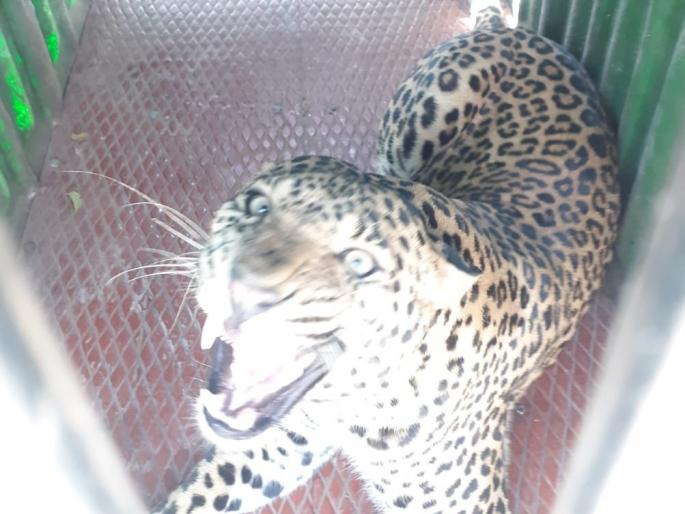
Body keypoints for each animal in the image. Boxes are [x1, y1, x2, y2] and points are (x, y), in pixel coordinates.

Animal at [153, 2, 620, 513]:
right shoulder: (287, 438)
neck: (350, 404)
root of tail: (514, 32)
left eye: (359, 263)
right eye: (258, 206)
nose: (244, 291)